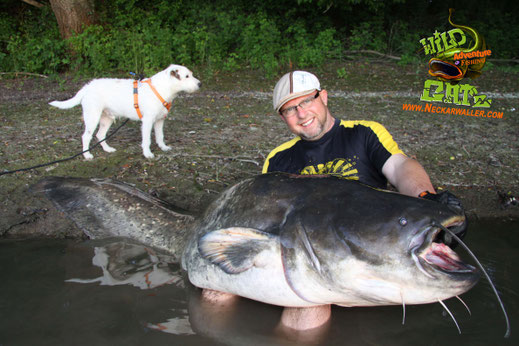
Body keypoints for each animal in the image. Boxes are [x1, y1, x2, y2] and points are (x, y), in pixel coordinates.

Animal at [49, 64, 201, 159]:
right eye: (186, 76)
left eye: (191, 75)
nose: (200, 84)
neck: (162, 88)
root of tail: (88, 86)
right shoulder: (147, 121)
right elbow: (147, 140)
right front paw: (147, 154)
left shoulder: (159, 120)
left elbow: (160, 136)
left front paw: (163, 147)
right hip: (93, 117)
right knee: (86, 136)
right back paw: (87, 155)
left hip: (107, 118)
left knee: (100, 135)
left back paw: (107, 149)